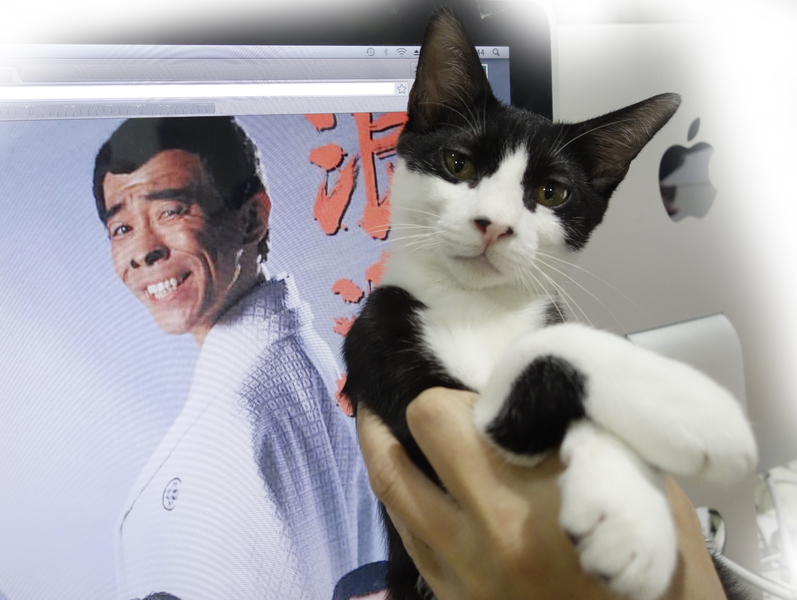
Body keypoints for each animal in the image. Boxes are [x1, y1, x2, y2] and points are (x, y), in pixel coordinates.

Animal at [342, 8, 757, 600]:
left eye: (552, 193)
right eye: (457, 163)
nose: (493, 224)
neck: (478, 305)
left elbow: (558, 341)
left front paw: (626, 504)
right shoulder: (387, 349)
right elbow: (538, 366)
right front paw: (692, 410)